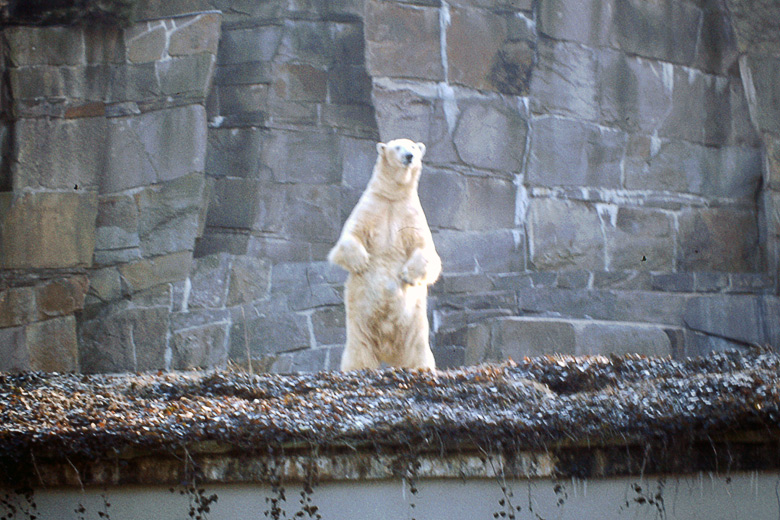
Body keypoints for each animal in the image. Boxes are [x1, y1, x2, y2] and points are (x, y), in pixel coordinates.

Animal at [326, 140, 442, 372]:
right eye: (397, 147)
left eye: (413, 147)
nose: (408, 156)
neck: (393, 196)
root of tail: (389, 350)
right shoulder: (371, 206)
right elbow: (350, 236)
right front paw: (361, 262)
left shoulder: (410, 213)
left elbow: (425, 249)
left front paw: (408, 275)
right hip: (359, 319)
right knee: (359, 348)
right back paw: (358, 369)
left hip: (415, 321)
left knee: (418, 349)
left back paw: (422, 368)